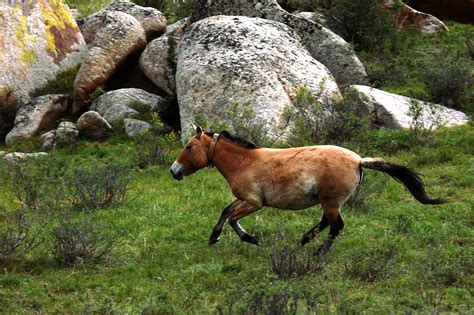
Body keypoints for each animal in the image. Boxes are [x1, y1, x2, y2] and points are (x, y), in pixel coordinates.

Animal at [170, 124, 444, 253]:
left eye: (189, 148)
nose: (174, 171)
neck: (244, 162)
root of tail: (359, 160)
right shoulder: (245, 199)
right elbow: (225, 211)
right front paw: (213, 237)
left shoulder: (254, 202)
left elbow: (232, 219)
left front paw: (253, 239)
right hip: (329, 201)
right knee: (326, 223)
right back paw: (304, 240)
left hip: (331, 202)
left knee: (336, 226)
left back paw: (318, 252)